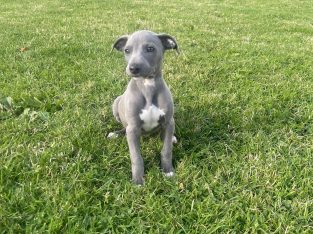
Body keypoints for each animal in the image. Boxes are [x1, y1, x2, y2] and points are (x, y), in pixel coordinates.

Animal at [109, 30, 178, 185]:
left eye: (150, 48)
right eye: (127, 50)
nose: (133, 68)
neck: (147, 85)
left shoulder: (169, 122)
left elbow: (166, 150)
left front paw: (168, 170)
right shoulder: (133, 128)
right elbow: (136, 157)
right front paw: (138, 180)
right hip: (116, 103)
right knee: (124, 128)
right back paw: (115, 134)